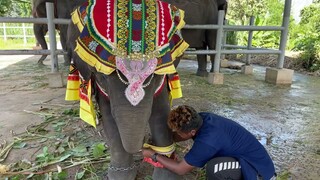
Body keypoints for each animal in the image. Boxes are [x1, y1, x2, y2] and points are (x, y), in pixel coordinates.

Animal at [66, 0, 189, 180]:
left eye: (156, 75)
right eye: (101, 76)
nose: (142, 148)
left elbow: (160, 113)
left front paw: (166, 173)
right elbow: (109, 118)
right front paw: (120, 175)